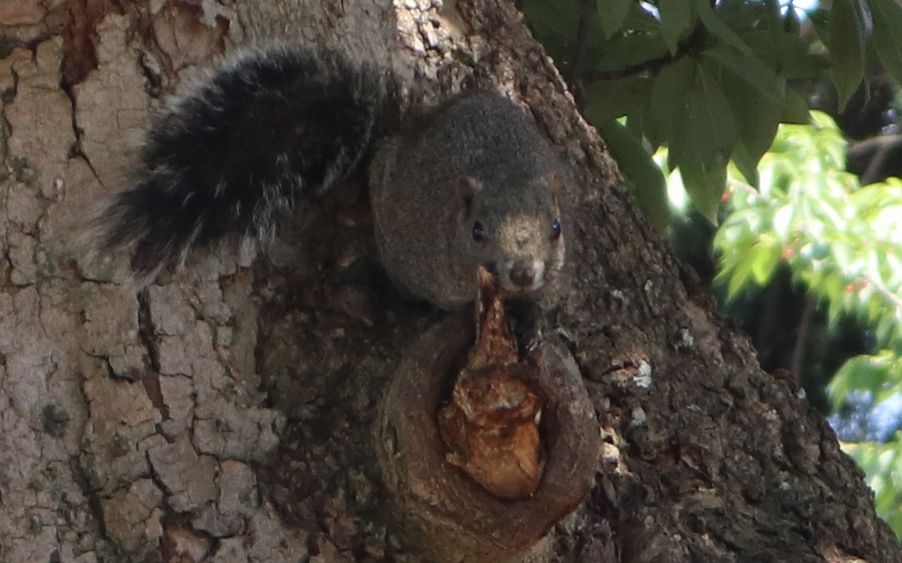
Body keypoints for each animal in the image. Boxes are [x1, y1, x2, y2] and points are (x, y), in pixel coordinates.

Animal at [97, 47, 564, 312]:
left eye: (557, 228)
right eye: (477, 231)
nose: (523, 272)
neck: (504, 171)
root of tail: (403, 132)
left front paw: (531, 319)